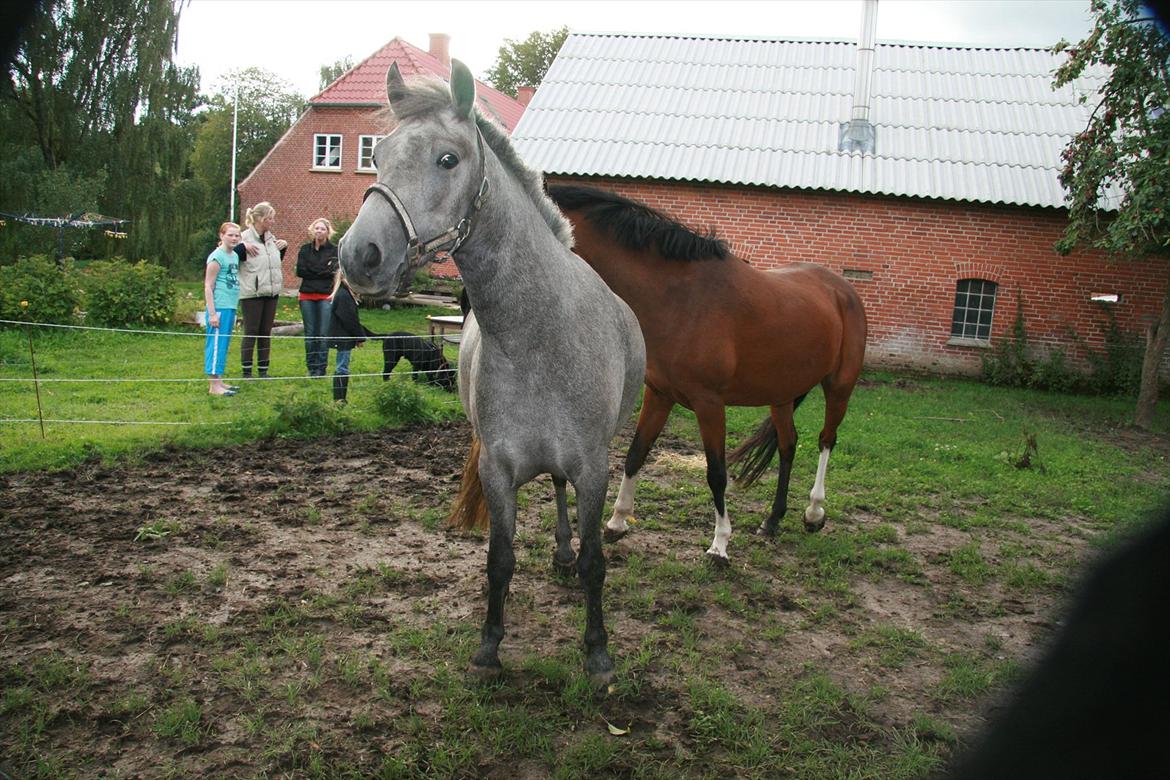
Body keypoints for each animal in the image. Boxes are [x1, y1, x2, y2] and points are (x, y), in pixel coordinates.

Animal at [339, 59, 650, 682]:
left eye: (448, 159)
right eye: (376, 155)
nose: (358, 255)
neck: (539, 337)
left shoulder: (593, 468)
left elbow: (595, 562)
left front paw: (598, 654)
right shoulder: (499, 470)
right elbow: (500, 560)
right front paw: (489, 649)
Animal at [549, 184, 870, 561]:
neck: (679, 298)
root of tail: (842, 288)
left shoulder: (709, 404)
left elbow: (716, 472)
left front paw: (720, 544)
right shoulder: (659, 395)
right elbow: (635, 454)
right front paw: (617, 522)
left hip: (839, 386)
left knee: (826, 440)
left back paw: (814, 512)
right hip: (781, 395)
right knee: (789, 445)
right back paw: (773, 520)